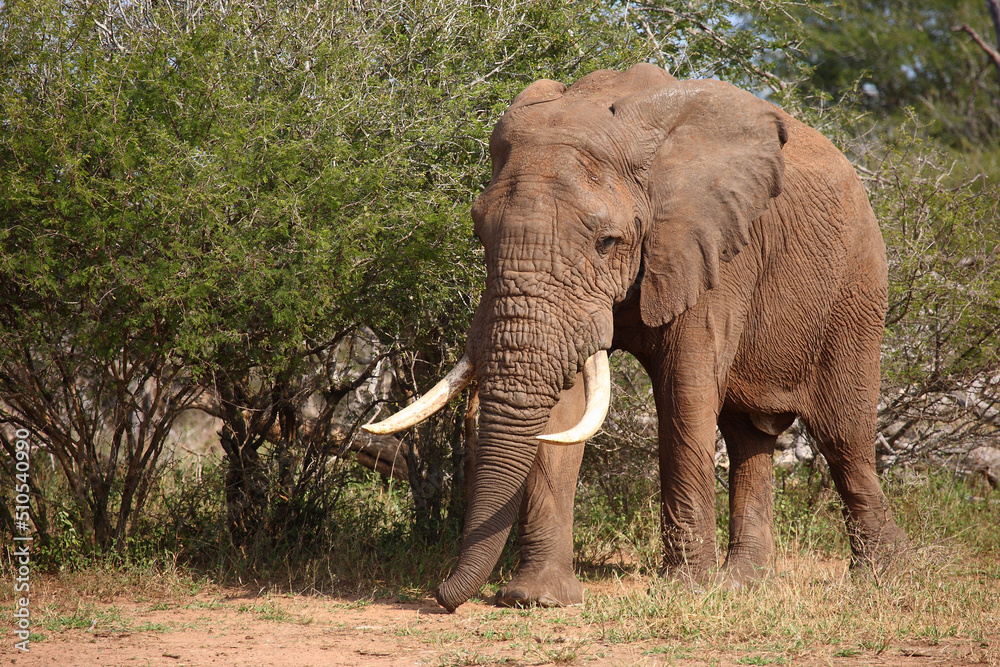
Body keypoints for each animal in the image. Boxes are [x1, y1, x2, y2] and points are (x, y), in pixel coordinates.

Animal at [366, 64, 908, 616]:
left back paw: (879, 580)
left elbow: (684, 392)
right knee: (747, 436)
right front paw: (538, 599)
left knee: (843, 437)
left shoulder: (711, 249)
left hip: (858, 286)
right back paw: (744, 584)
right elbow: (566, 409)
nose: (441, 596)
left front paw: (686, 590)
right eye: (480, 233)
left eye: (607, 242)